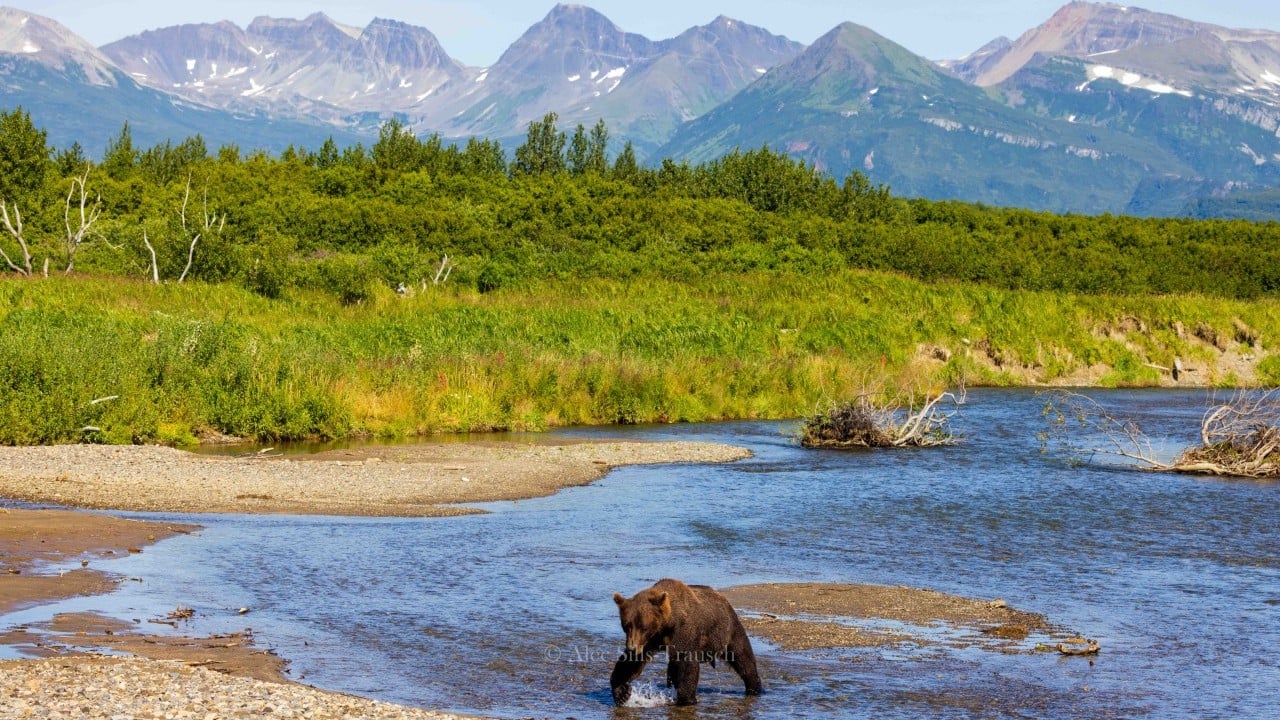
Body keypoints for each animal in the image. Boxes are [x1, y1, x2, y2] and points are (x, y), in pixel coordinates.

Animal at [610, 578, 762, 706]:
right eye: (626, 625)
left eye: (643, 626)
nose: (632, 648)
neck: (667, 624)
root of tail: (724, 600)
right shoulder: (650, 639)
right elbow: (632, 663)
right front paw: (622, 692)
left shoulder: (683, 631)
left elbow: (686, 661)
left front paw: (686, 698)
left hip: (728, 630)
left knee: (742, 657)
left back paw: (754, 688)